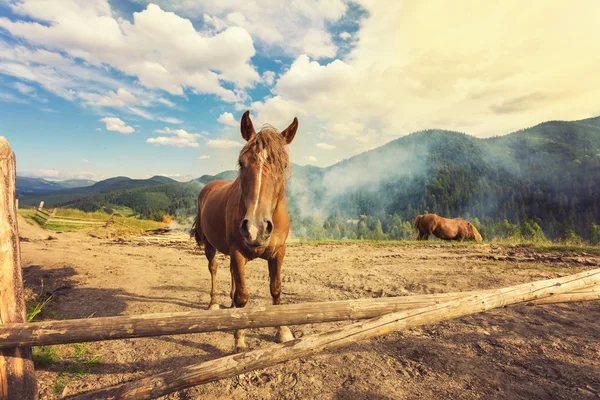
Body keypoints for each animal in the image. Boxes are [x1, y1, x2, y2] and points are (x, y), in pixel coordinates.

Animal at [192, 111, 298, 352]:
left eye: (283, 165)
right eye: (242, 162)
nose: (255, 229)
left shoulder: (279, 253)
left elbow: (276, 289)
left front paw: (283, 331)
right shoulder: (238, 253)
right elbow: (242, 296)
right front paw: (239, 339)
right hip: (211, 247)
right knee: (213, 268)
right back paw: (214, 303)